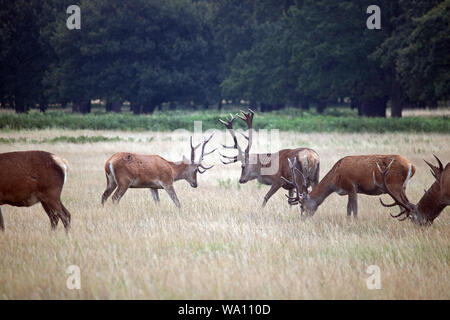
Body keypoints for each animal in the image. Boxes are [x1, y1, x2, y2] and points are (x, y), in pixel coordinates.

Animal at [284, 154, 416, 218]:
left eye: (302, 206)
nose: (303, 219)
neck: (335, 178)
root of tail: (411, 165)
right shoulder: (348, 190)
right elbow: (348, 209)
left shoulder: (351, 186)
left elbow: (355, 209)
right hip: (402, 187)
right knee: (409, 204)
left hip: (395, 185)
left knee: (404, 205)